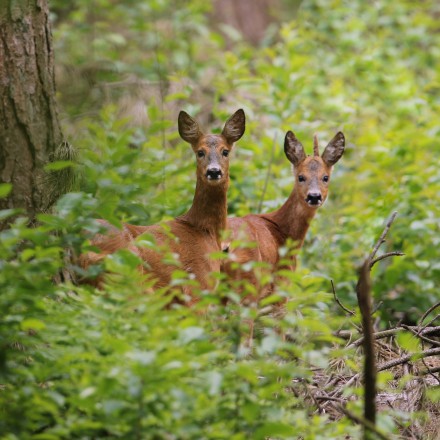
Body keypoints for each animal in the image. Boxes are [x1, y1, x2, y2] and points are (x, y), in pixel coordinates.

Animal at [225, 131, 346, 302]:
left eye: (325, 177)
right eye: (301, 177)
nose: (314, 196)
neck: (283, 233)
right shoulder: (280, 286)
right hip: (248, 281)